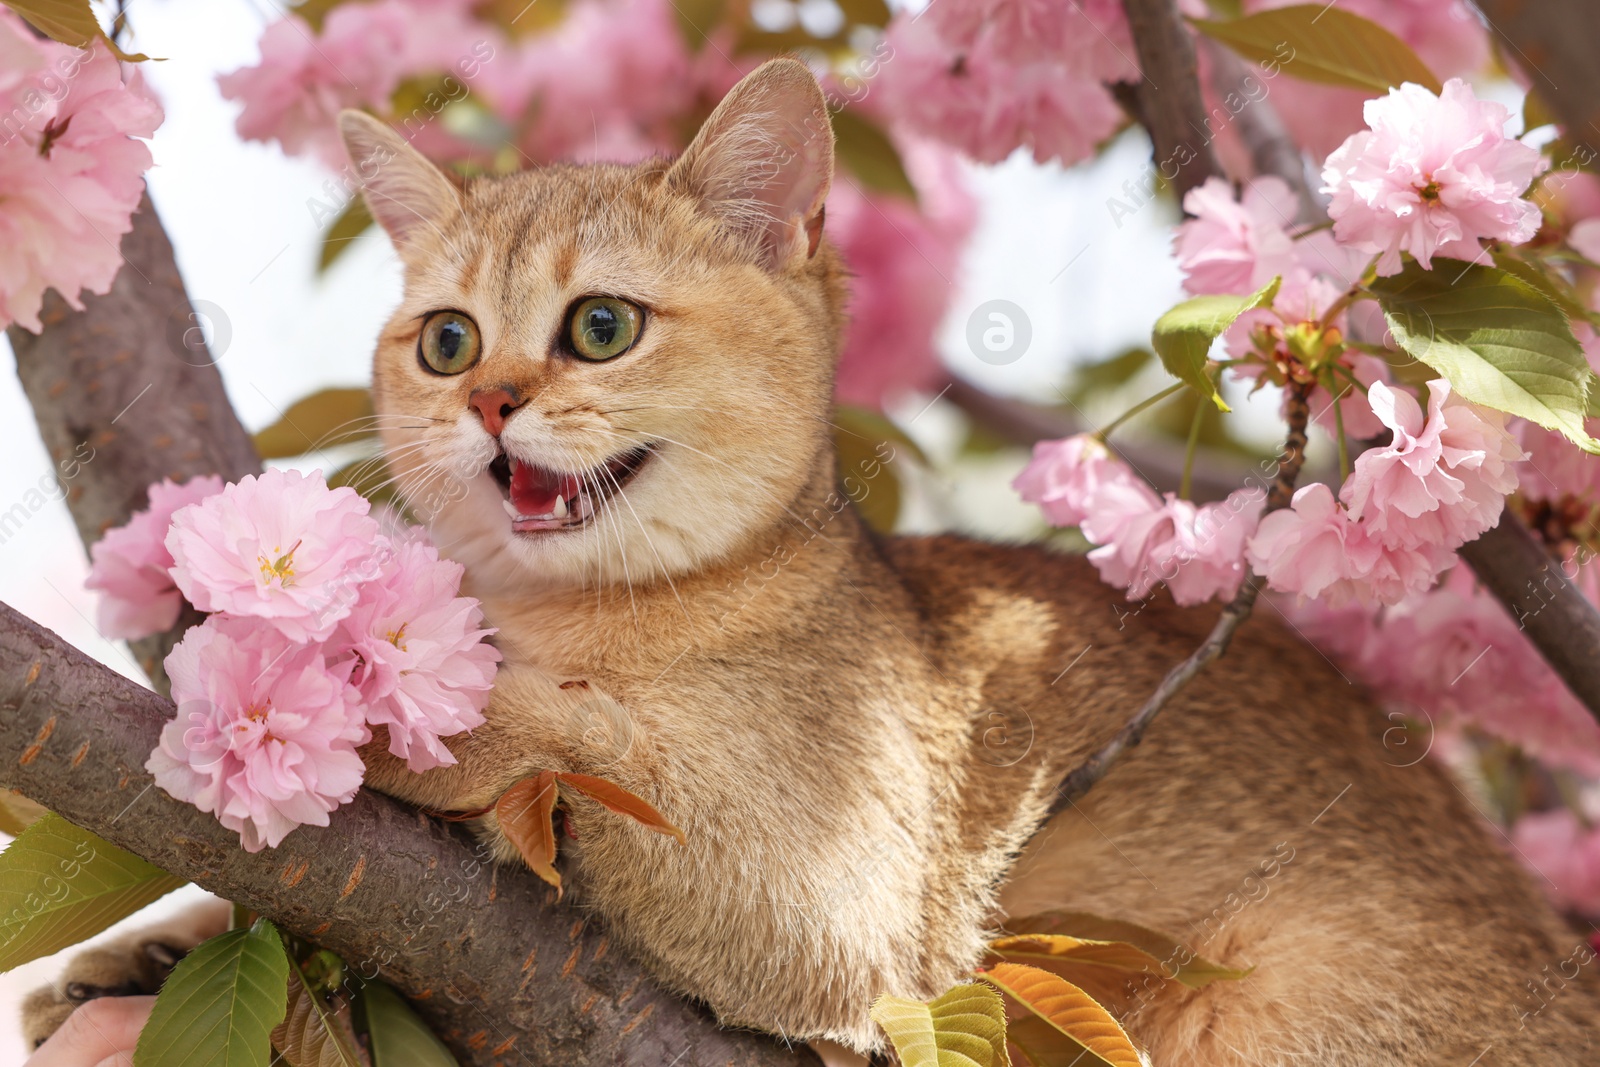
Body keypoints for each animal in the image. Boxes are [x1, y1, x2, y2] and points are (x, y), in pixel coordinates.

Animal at [25, 60, 1600, 1067]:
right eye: (448, 339)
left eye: (601, 327)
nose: (490, 402)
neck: (580, 610)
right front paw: (148, 944)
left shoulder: (835, 908)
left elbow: (574, 738)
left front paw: (360, 704)